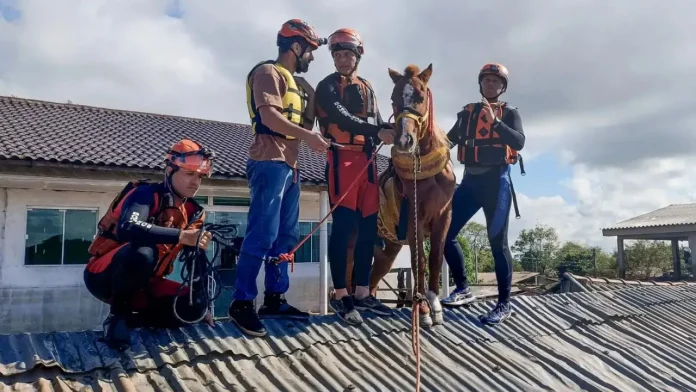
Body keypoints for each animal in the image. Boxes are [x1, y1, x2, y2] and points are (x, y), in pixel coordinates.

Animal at [344, 63, 456, 328]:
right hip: (354, 244)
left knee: (371, 280)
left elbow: (435, 258)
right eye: (394, 99)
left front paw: (435, 306)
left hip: (386, 252)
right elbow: (419, 261)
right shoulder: (415, 218)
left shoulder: (444, 216)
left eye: (421, 97)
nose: (405, 141)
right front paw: (422, 309)